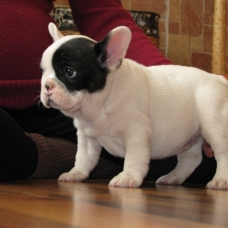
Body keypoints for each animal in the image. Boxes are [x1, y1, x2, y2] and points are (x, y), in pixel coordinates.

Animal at [40, 23, 228, 190]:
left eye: (69, 72)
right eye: (43, 71)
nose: (47, 85)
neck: (100, 106)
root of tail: (219, 79)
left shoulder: (136, 133)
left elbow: (133, 158)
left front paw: (127, 177)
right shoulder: (87, 137)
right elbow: (84, 158)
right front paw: (76, 173)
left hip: (214, 125)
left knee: (222, 153)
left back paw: (220, 181)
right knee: (191, 159)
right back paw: (172, 178)